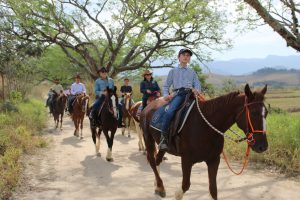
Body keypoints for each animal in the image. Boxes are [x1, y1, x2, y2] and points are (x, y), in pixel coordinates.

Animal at [139, 83, 268, 199]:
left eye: (266, 113)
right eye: (254, 113)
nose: (263, 146)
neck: (205, 126)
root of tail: (148, 107)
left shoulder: (213, 160)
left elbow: (213, 190)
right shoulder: (186, 160)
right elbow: (185, 186)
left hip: (163, 146)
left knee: (158, 160)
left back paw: (157, 185)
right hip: (148, 138)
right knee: (152, 161)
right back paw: (160, 187)